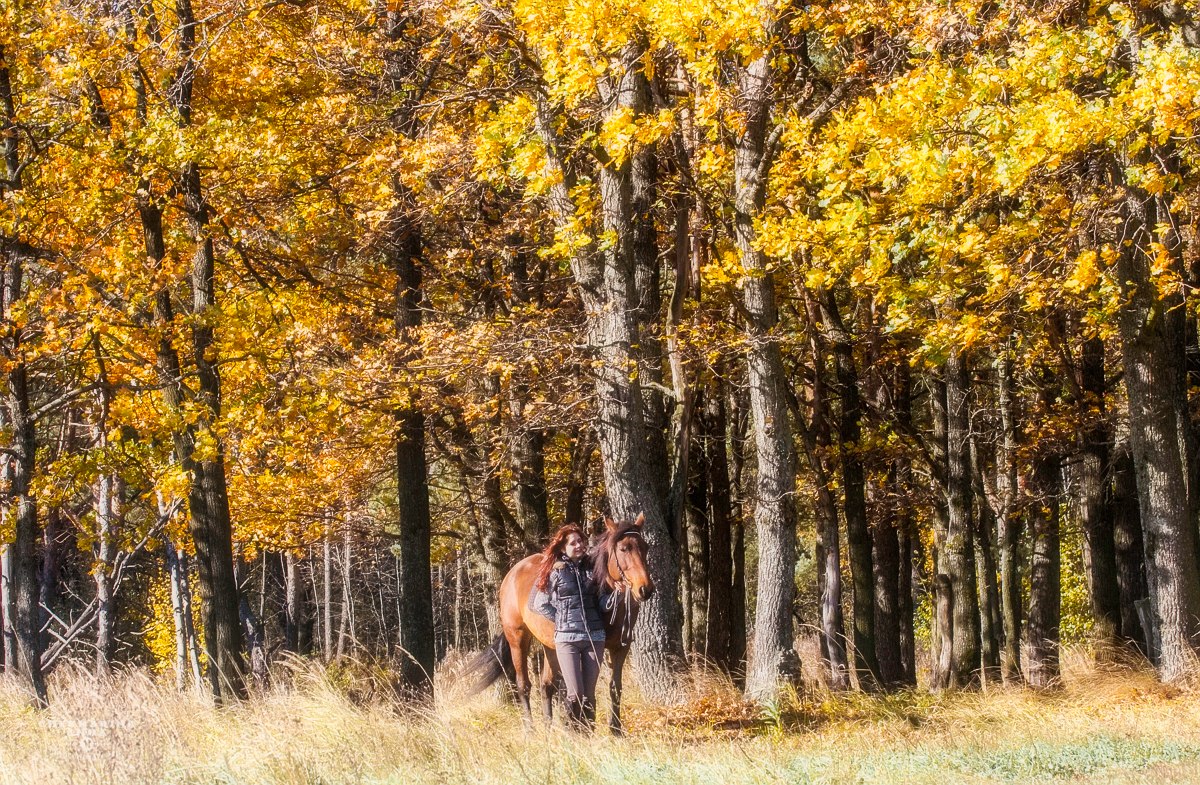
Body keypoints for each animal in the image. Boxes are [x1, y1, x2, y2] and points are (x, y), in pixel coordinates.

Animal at [465, 520, 657, 734]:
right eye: (624, 548)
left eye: (645, 548)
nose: (645, 589)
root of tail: (512, 574)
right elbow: (580, 687)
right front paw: (580, 726)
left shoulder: (619, 648)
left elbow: (614, 687)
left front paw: (615, 730)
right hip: (518, 639)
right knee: (524, 685)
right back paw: (531, 730)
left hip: (550, 645)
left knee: (546, 685)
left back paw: (549, 728)